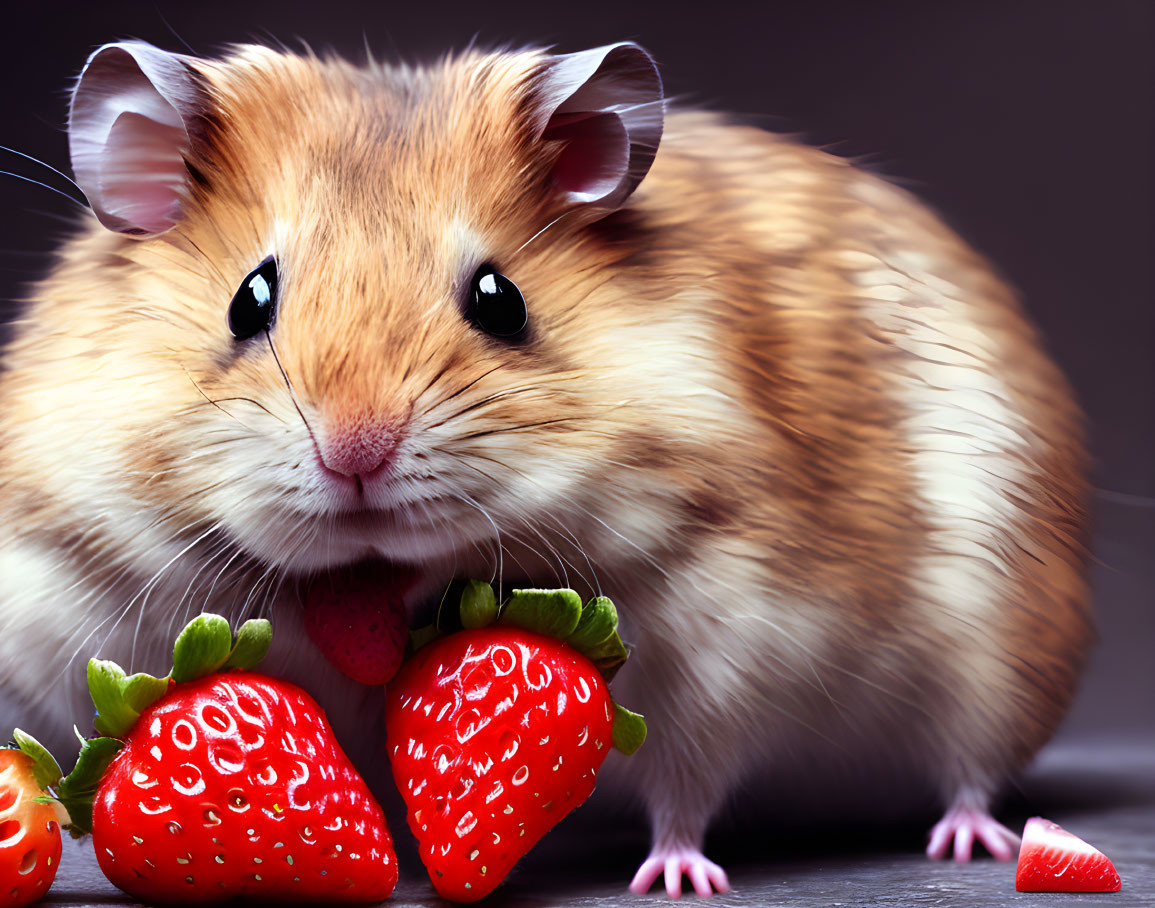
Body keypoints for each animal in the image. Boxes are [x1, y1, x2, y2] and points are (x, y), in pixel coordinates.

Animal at [0, 38, 1090, 896]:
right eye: (248, 300)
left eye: (500, 299)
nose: (355, 454)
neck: (376, 571)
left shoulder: (732, 633)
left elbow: (688, 782)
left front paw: (677, 879)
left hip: (990, 653)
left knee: (966, 767)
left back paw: (966, 843)